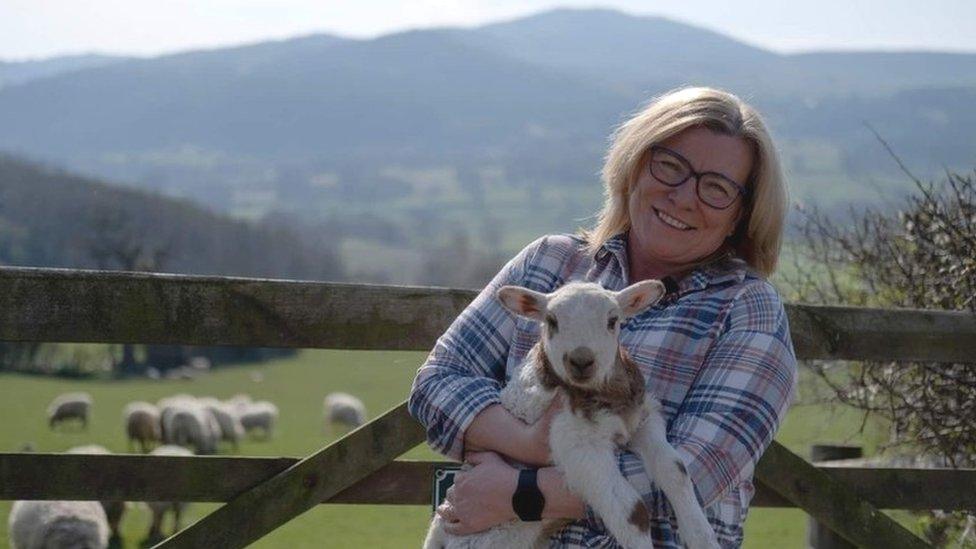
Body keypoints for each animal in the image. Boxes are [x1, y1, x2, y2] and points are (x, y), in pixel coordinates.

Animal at [426, 282, 716, 548]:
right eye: (551, 321)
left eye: (612, 321)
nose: (581, 360)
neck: (604, 395)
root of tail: (438, 532)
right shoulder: (575, 443)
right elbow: (632, 511)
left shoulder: (642, 419)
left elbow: (676, 469)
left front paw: (702, 536)